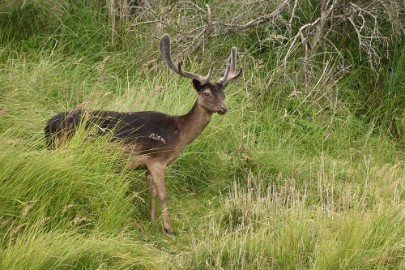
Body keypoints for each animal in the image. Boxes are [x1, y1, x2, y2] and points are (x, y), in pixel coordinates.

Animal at [45, 33, 240, 233]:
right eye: (207, 93)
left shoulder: (147, 165)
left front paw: (152, 222)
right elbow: (163, 194)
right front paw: (168, 229)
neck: (179, 133)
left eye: (223, 94)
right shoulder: (157, 160)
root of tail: (48, 125)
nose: (224, 108)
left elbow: (151, 192)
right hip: (65, 147)